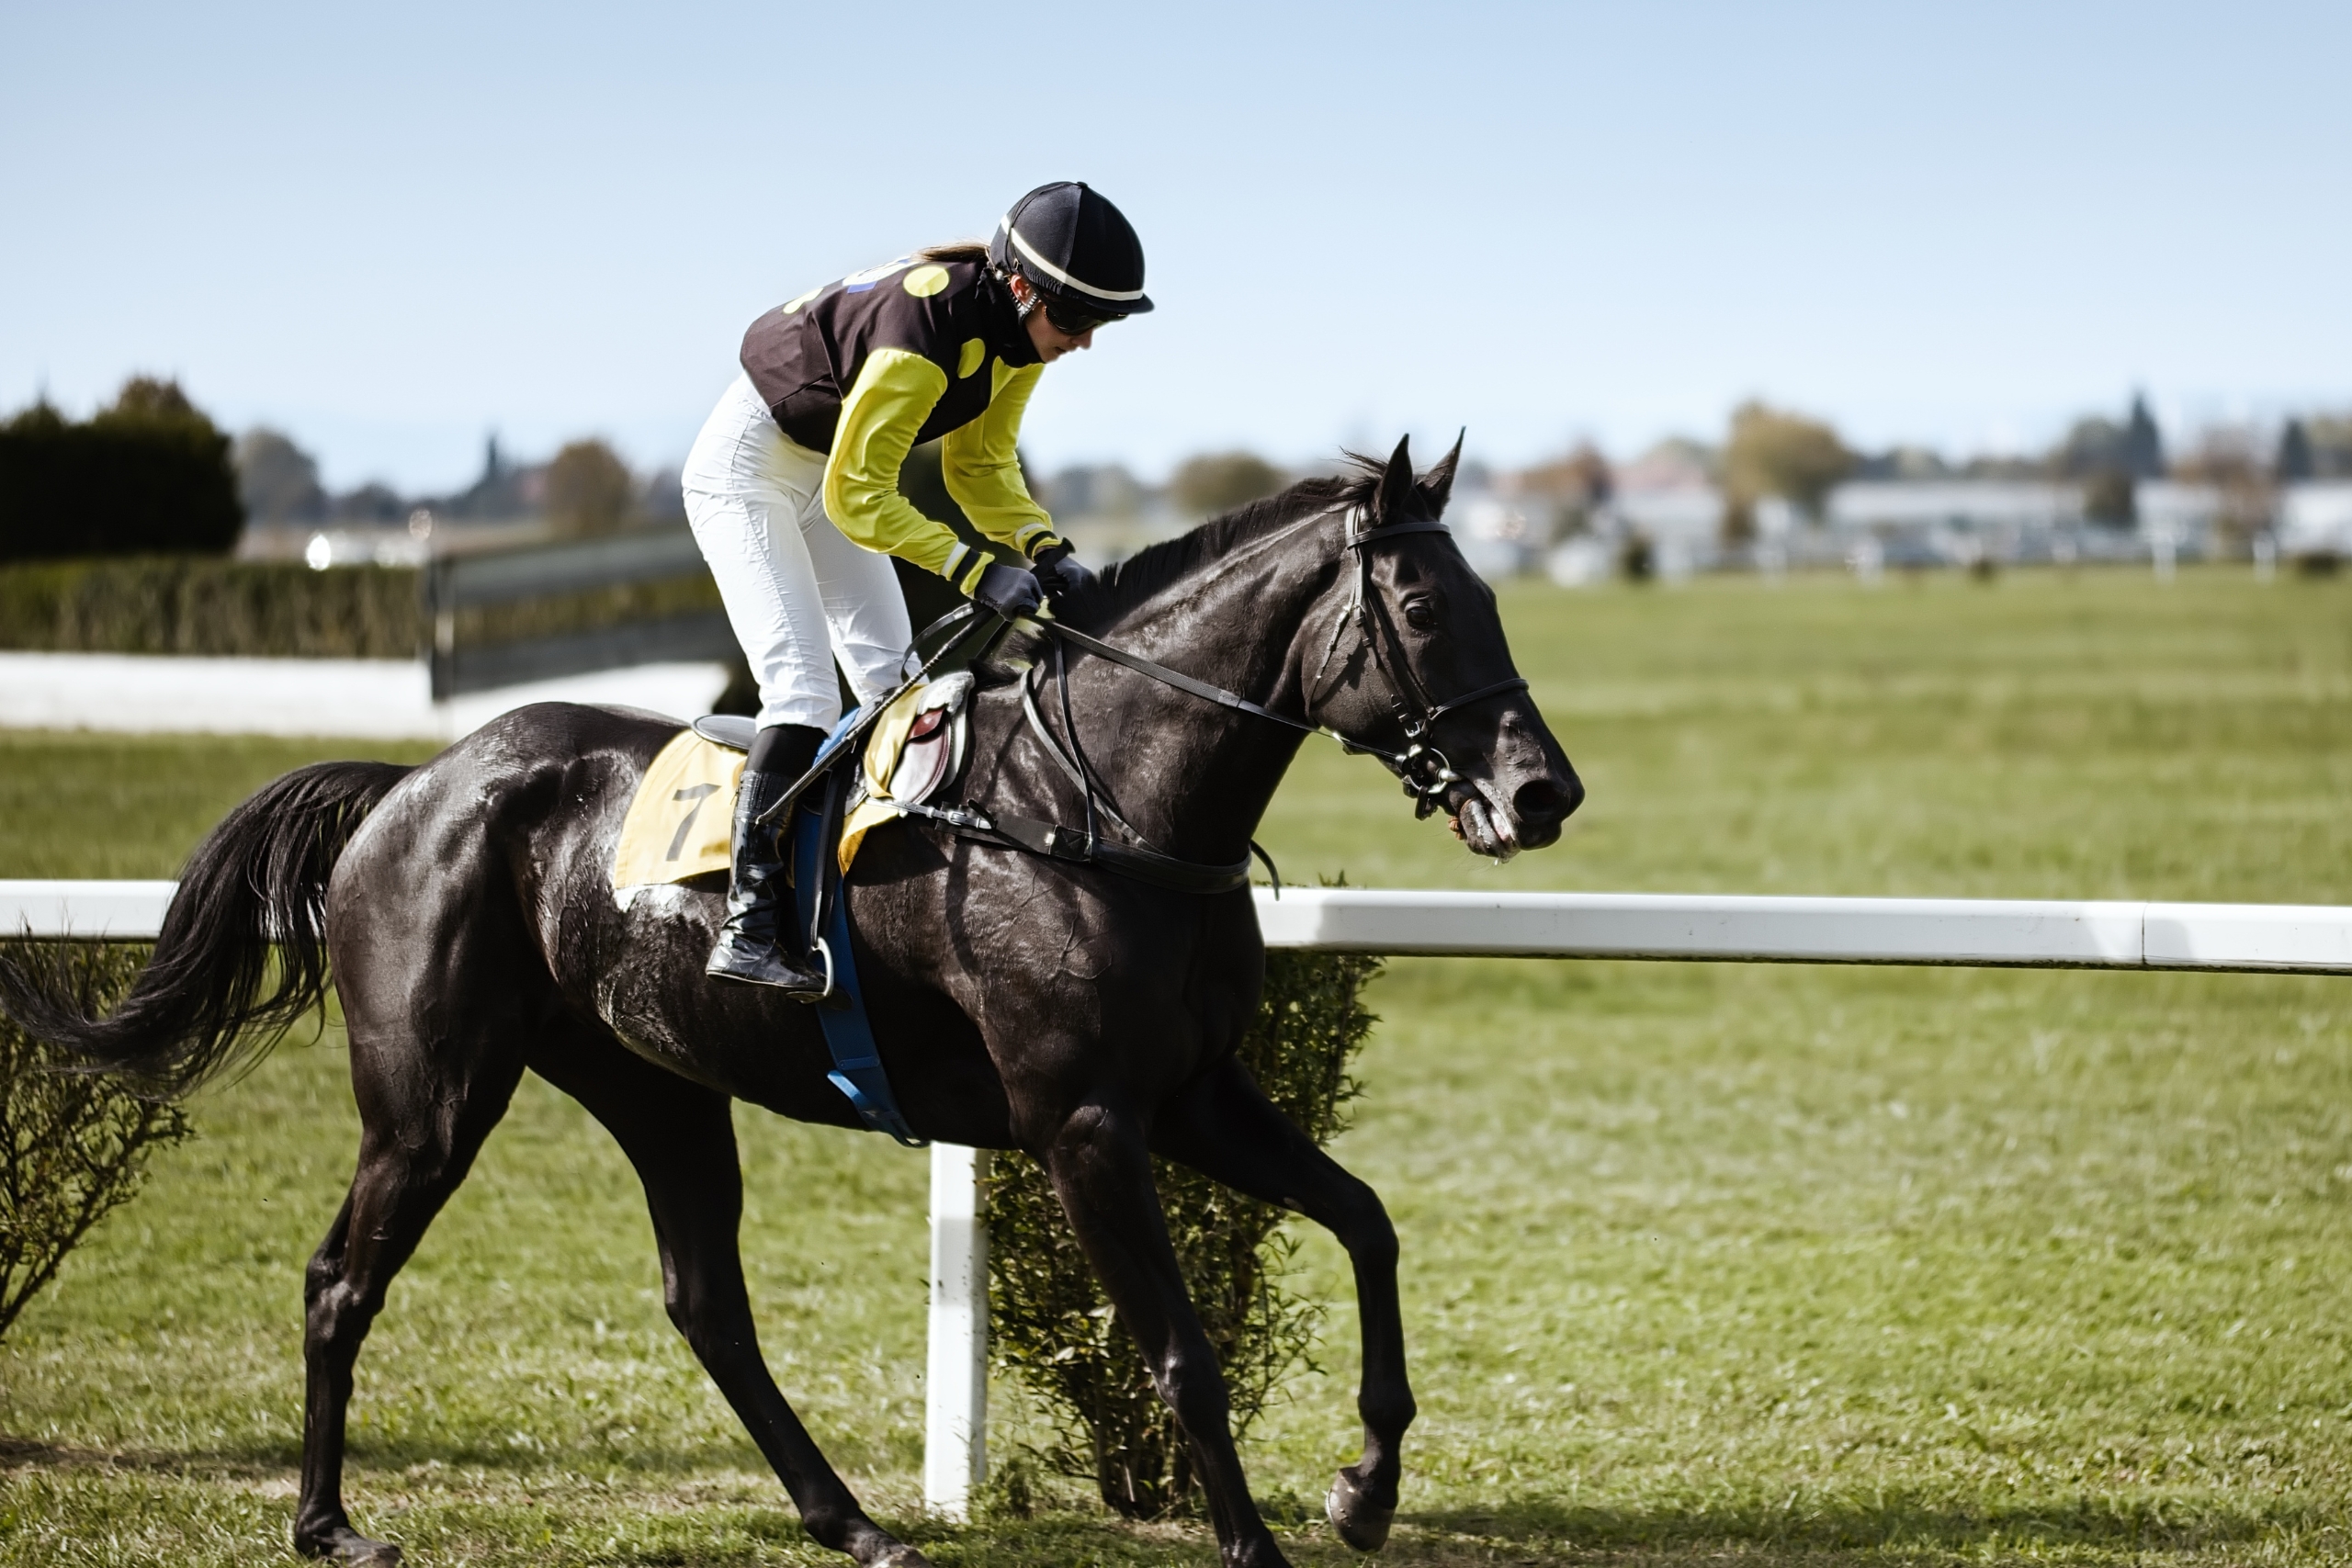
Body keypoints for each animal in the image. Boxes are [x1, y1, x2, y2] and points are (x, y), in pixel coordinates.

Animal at [3, 436, 1580, 1568]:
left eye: (1498, 597)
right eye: (1423, 606)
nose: (1542, 791)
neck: (1102, 805)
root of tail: (411, 783)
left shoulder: (1193, 1093)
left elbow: (1366, 1219)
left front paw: (1365, 1484)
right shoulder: (1083, 1119)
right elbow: (1184, 1351)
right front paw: (1258, 1541)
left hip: (655, 1083)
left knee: (706, 1297)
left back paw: (852, 1517)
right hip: (431, 1095)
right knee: (344, 1276)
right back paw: (328, 1521)